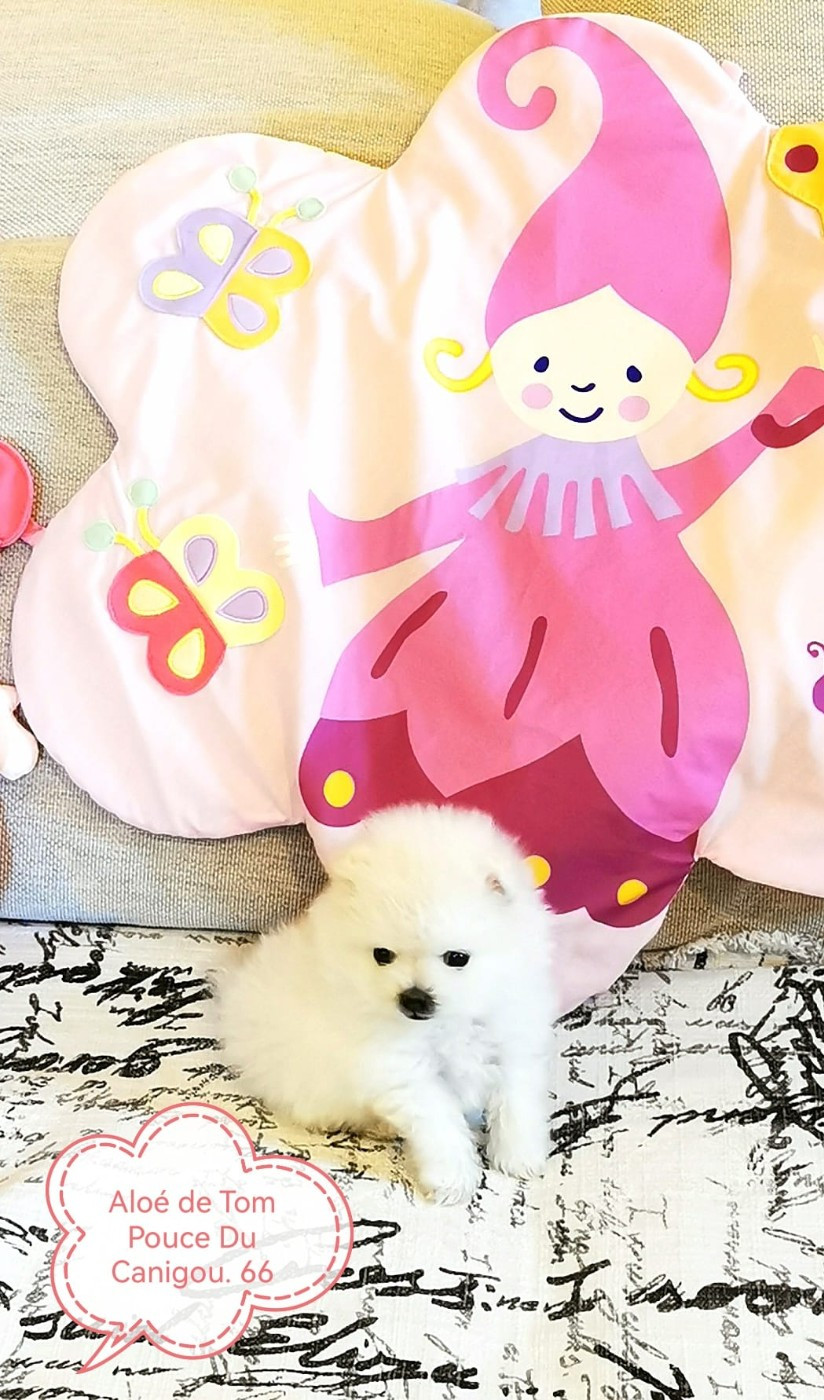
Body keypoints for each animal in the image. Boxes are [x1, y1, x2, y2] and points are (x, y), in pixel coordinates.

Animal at [217, 803, 555, 1203]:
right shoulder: (404, 1071)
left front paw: (520, 1157)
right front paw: (454, 1178)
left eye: (457, 958)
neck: (450, 1025)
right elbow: (440, 1122)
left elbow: (516, 1103)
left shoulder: (515, 1040)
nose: (414, 997)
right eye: (382, 955)